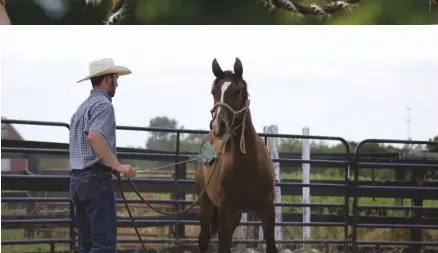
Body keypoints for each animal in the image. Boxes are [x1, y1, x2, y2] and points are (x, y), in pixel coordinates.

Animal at [196, 57, 278, 253]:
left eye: (237, 91)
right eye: (213, 92)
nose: (218, 125)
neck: (248, 165)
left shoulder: (267, 210)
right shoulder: (226, 210)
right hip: (207, 205)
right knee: (204, 238)